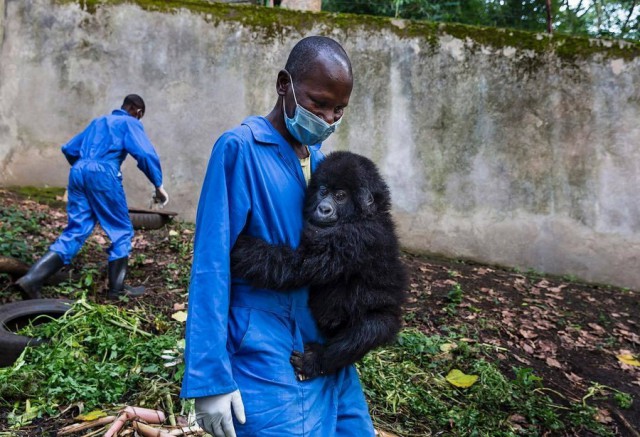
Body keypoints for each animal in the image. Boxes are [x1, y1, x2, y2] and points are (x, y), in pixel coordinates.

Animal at [232, 150, 408, 378]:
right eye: (323, 192)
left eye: (340, 196)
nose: (323, 208)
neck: (365, 214)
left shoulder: (357, 237)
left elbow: (298, 265)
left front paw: (242, 249)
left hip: (386, 318)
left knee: (371, 329)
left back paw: (317, 360)